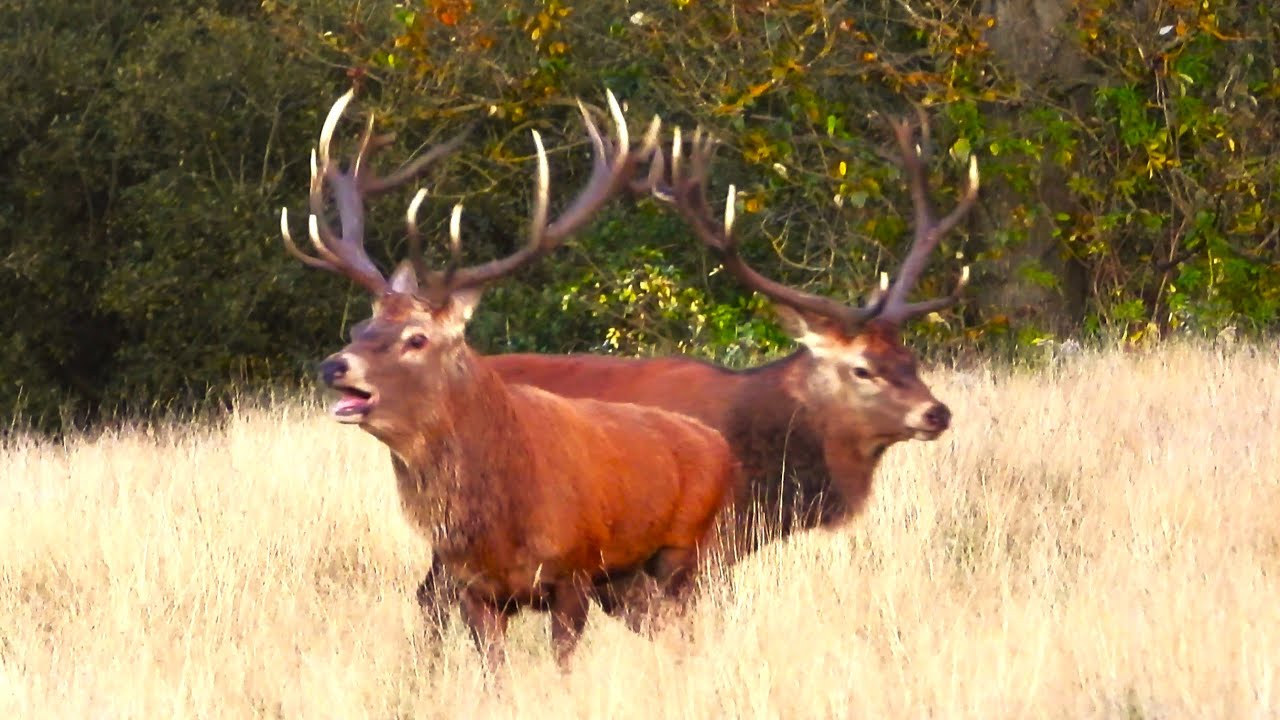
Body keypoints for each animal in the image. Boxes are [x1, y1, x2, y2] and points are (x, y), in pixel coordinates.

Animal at [280, 89, 738, 667]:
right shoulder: (474, 589)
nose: (334, 366)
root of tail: (718, 444)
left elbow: (562, 664)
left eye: (417, 338)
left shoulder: (573, 572)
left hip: (686, 556)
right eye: (361, 327)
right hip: (626, 583)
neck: (501, 519)